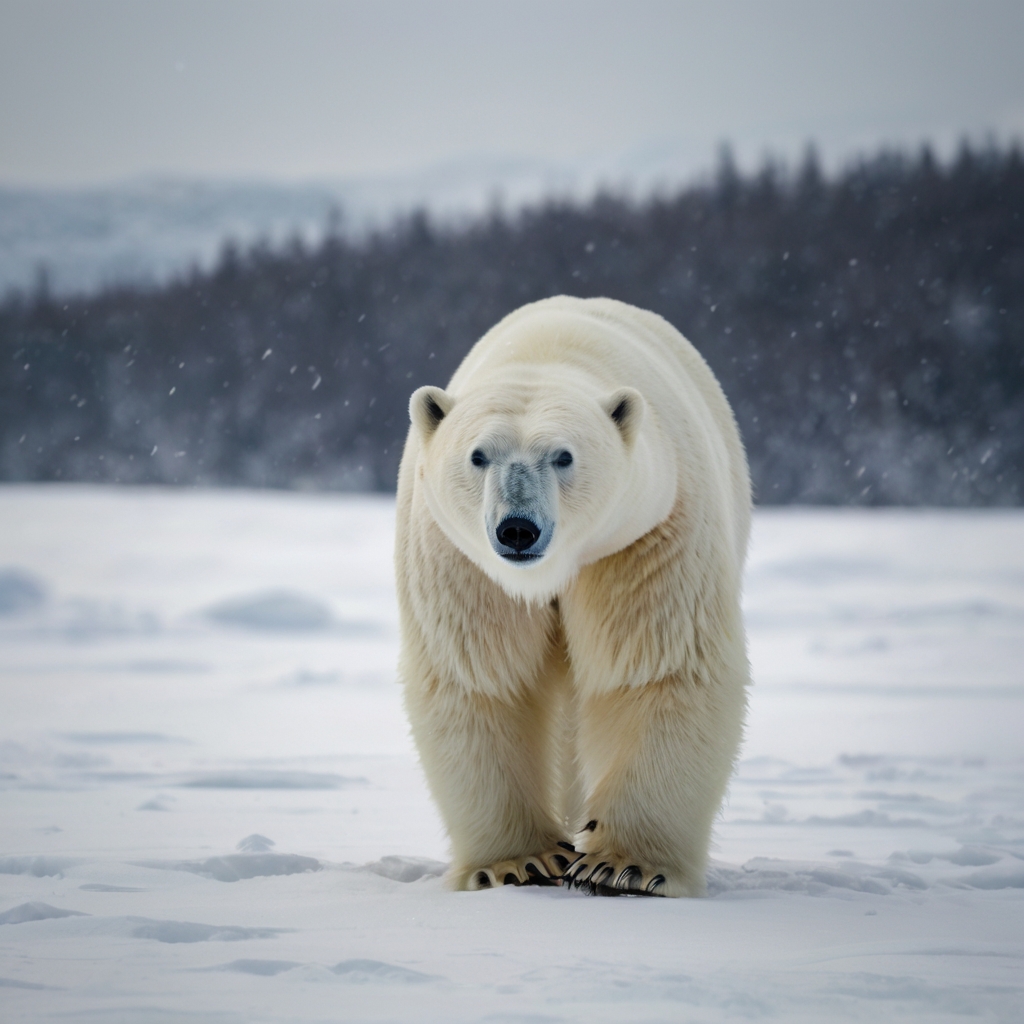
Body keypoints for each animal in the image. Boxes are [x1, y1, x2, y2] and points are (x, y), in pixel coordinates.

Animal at [395, 294, 749, 897]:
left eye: (563, 456)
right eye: (477, 456)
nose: (517, 529)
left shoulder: (643, 537)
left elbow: (656, 668)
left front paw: (625, 868)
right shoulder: (463, 564)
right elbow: (485, 677)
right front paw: (517, 863)